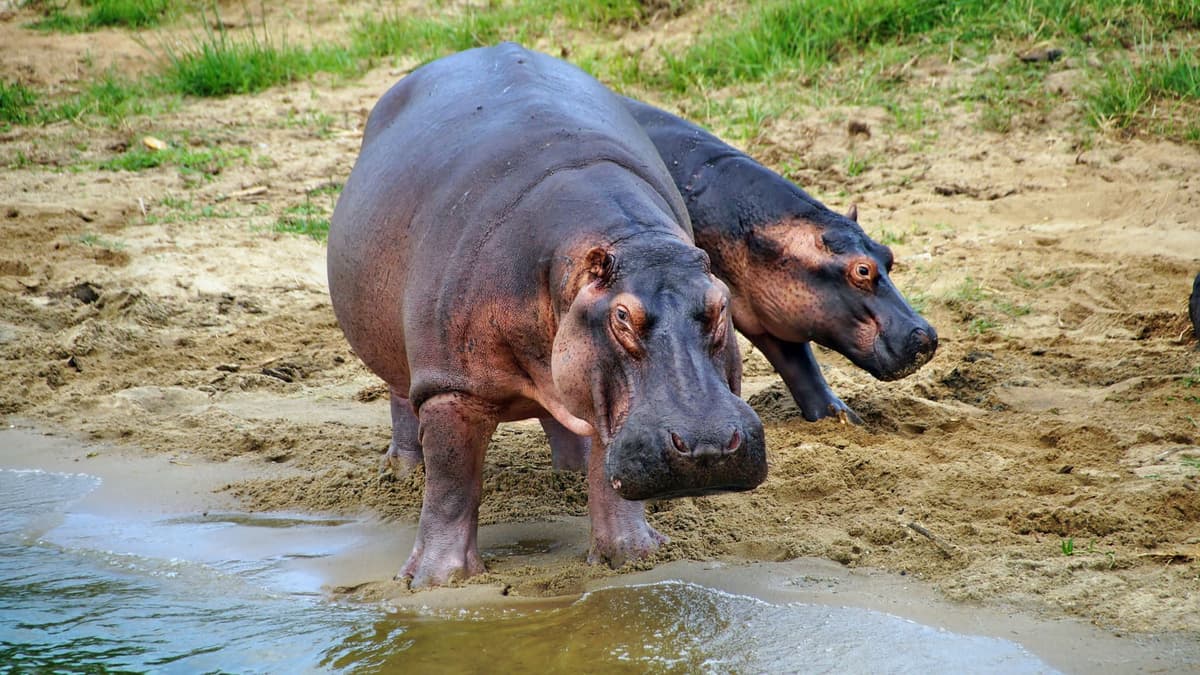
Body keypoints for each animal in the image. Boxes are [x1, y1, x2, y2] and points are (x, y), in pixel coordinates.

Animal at [327, 44, 766, 587]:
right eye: (622, 316)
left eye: (719, 303)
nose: (708, 445)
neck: (631, 240)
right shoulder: (451, 388)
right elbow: (452, 484)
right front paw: (435, 581)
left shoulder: (600, 392)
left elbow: (607, 475)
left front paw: (634, 558)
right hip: (399, 355)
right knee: (402, 403)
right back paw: (403, 475)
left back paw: (568, 475)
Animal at [622, 97, 938, 423]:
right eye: (862, 270)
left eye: (889, 255)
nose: (927, 337)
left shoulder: (768, 310)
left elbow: (800, 366)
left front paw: (844, 418)